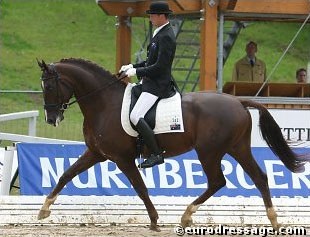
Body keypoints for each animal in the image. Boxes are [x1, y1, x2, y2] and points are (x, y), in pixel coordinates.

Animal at [37, 57, 308, 231]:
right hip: (237, 148)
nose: (51, 119)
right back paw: (274, 220)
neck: (104, 103)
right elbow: (66, 175)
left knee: (217, 182)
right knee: (259, 177)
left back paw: (187, 216)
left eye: (49, 85)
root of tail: (238, 101)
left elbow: (140, 188)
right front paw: (44, 210)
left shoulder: (122, 158)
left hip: (209, 151)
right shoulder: (96, 153)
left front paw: (155, 221)